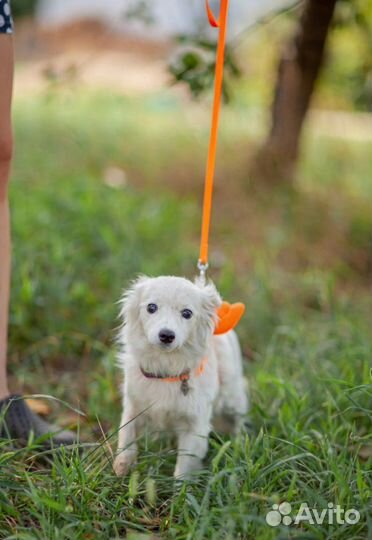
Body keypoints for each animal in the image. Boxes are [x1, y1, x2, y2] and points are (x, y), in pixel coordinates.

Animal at [112, 276, 248, 478]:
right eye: (151, 307)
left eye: (187, 313)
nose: (166, 335)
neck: (166, 368)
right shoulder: (133, 407)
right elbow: (126, 436)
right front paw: (122, 466)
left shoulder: (195, 427)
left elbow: (184, 467)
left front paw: (180, 487)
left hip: (232, 396)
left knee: (239, 417)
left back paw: (240, 442)